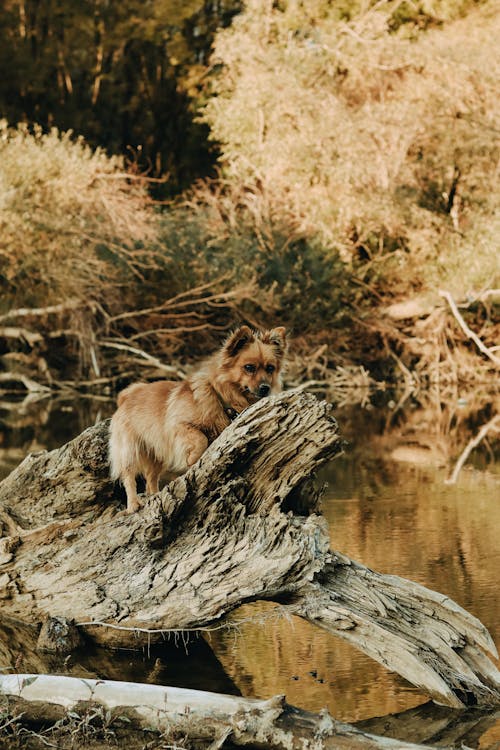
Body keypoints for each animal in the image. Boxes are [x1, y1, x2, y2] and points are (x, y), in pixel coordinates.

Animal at [111, 326, 288, 516]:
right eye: (249, 368)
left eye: (270, 368)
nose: (265, 388)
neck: (222, 400)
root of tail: (128, 395)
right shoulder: (178, 426)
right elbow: (200, 437)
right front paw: (192, 458)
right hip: (130, 450)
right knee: (129, 477)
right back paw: (133, 504)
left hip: (155, 455)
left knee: (151, 478)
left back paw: (154, 495)